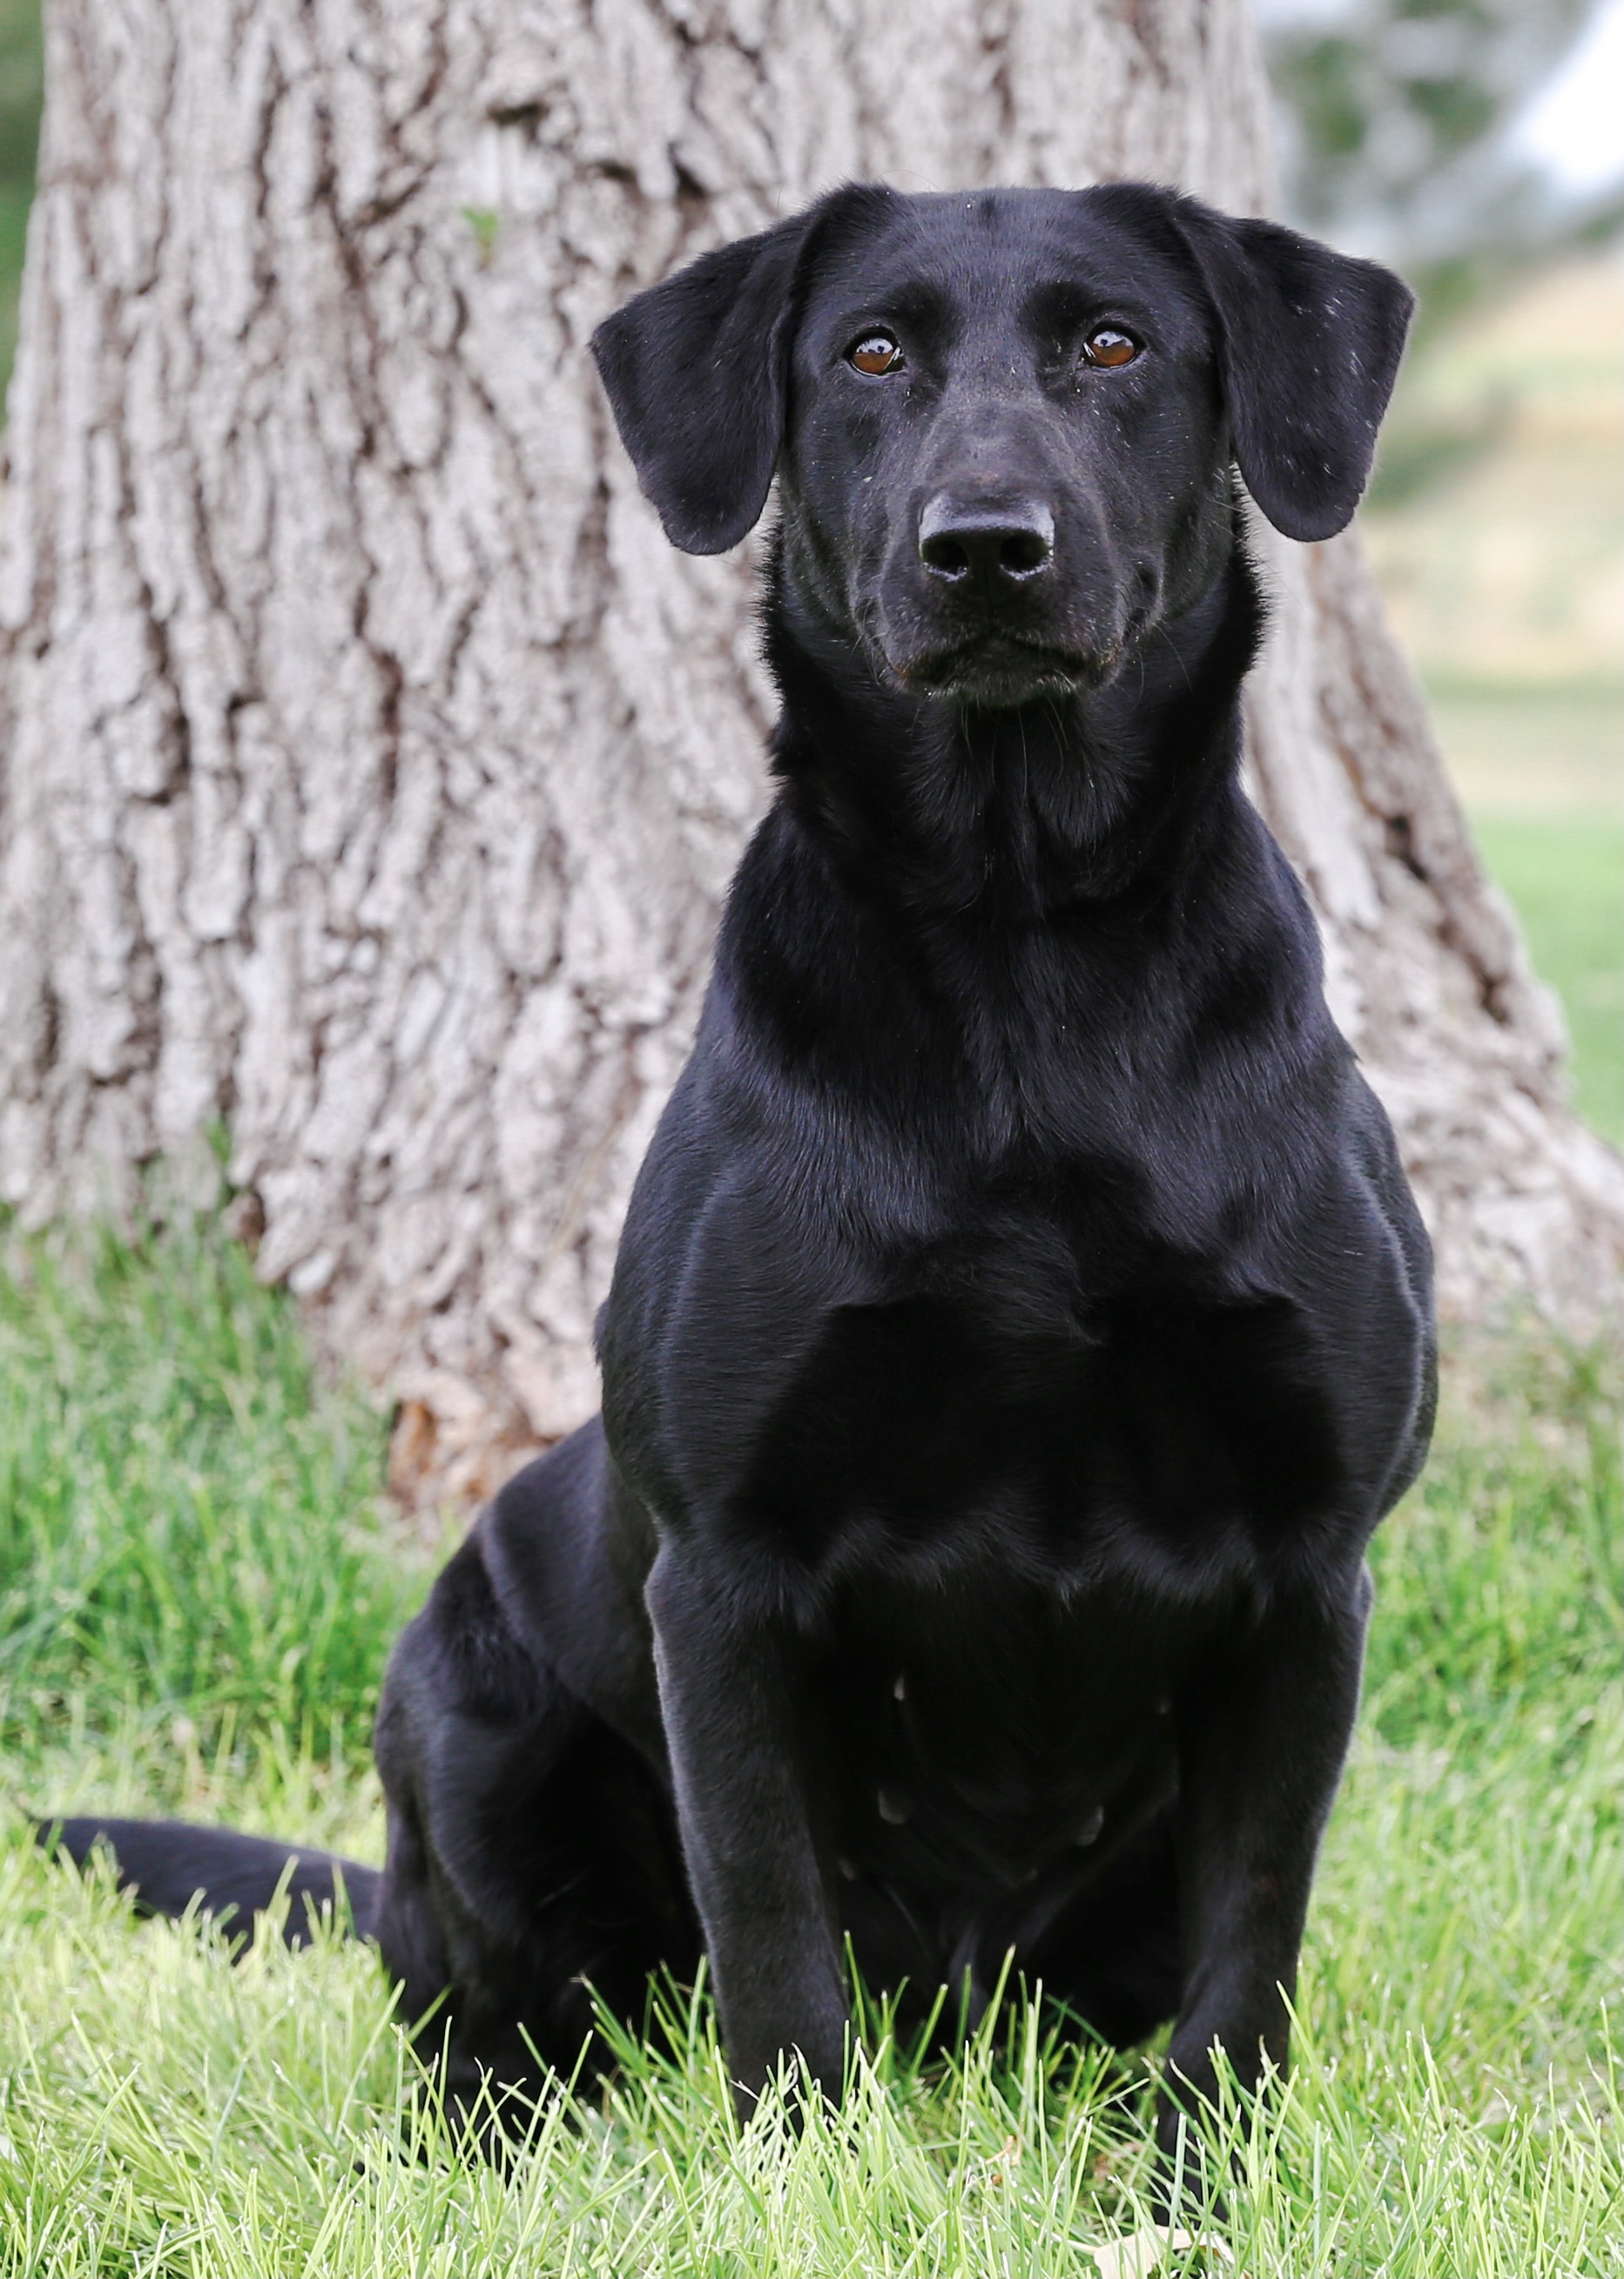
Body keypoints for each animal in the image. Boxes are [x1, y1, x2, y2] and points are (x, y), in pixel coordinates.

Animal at [41, 186, 1430, 2178]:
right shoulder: (723, 1582)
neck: (1025, 957)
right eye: (869, 354)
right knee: (492, 2017)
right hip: (464, 1720)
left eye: (1112, 345)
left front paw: (1198, 2183)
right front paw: (804, 2186)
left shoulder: (1307, 1575)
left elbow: (1254, 1941)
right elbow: (772, 1935)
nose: (983, 550)